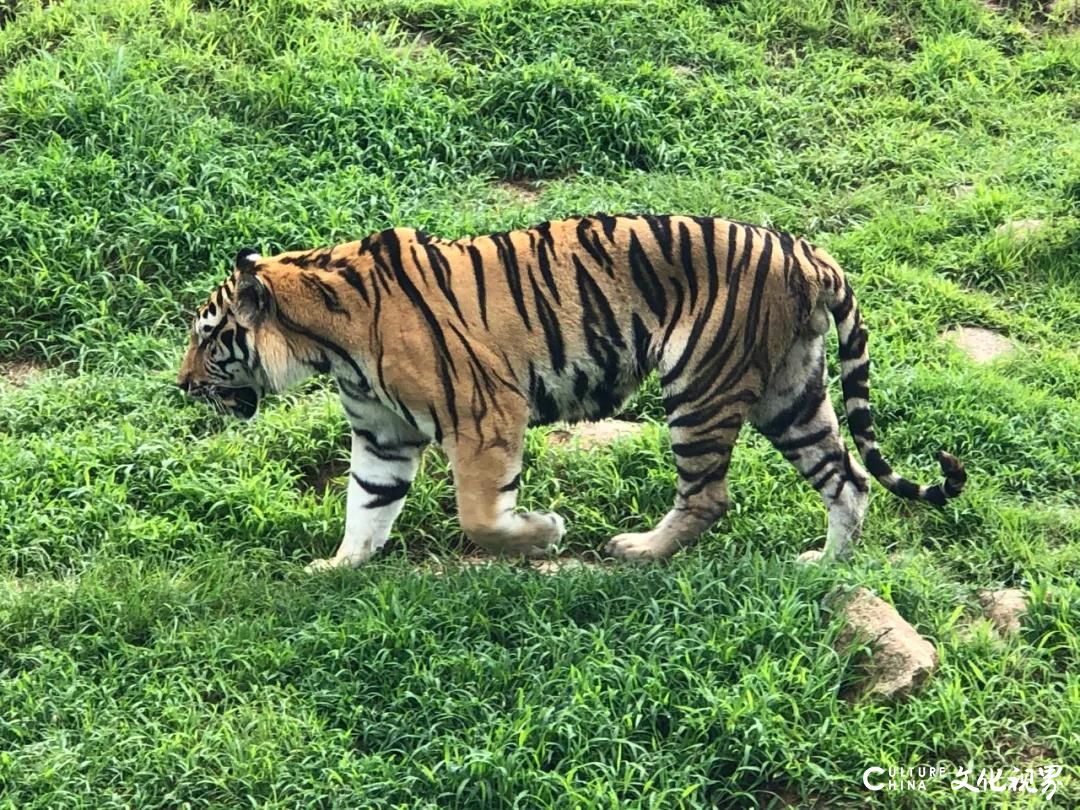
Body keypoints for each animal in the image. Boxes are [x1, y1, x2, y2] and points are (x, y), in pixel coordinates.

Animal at [179, 216, 972, 570]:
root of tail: (809, 253)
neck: (328, 342)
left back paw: (639, 550)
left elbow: (479, 518)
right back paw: (821, 566)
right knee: (847, 479)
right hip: (791, 390)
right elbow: (366, 508)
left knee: (710, 496)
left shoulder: (487, 413)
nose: (181, 385)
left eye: (207, 336)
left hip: (700, 384)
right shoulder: (382, 435)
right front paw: (339, 567)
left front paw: (545, 532)